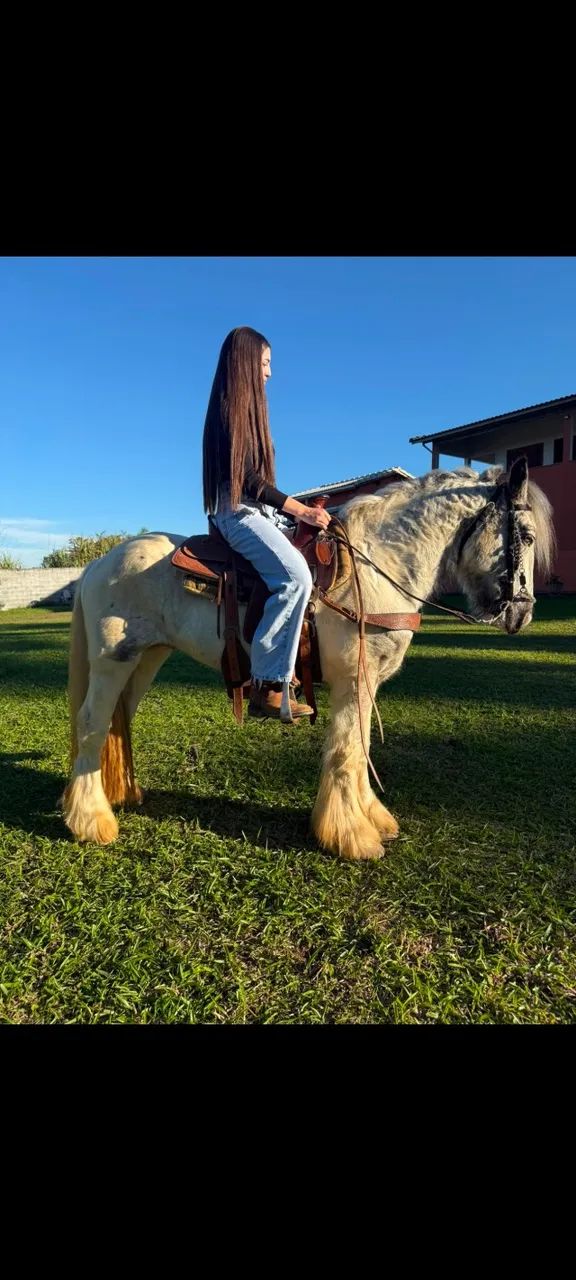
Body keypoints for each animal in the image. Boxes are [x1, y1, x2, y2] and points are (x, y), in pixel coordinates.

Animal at [62, 457, 554, 860]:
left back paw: (123, 794)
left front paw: (370, 819)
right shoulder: (353, 682)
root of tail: (99, 563)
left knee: (118, 721)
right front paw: (351, 836)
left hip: (147, 659)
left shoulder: (364, 686)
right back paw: (92, 822)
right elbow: (347, 750)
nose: (522, 613)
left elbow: (359, 746)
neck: (379, 564)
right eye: (526, 536)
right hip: (113, 662)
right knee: (92, 724)